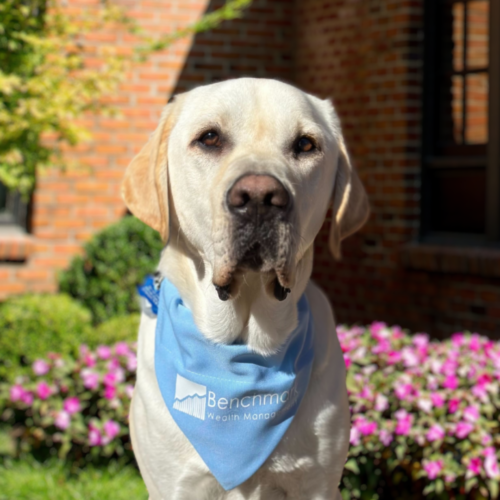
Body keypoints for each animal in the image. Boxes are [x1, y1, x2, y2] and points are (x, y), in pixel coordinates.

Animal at [122, 76, 368, 498]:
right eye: (209, 138)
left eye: (305, 144)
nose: (259, 197)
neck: (244, 345)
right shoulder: (174, 485)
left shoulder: (318, 483)